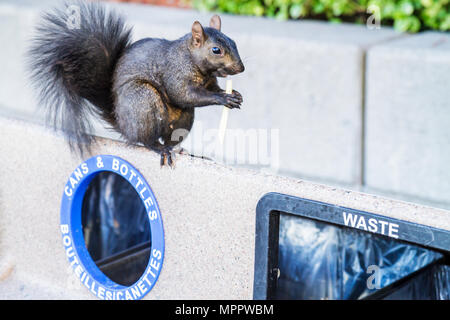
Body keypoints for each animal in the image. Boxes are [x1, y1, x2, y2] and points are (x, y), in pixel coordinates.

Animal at [28, 0, 244, 165]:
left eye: (234, 42)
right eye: (216, 50)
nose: (240, 68)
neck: (192, 59)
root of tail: (123, 125)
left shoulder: (209, 80)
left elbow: (209, 89)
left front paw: (234, 95)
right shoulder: (175, 72)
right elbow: (183, 94)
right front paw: (223, 98)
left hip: (182, 120)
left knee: (169, 139)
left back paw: (179, 149)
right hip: (142, 100)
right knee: (146, 140)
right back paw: (159, 148)